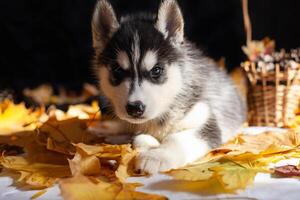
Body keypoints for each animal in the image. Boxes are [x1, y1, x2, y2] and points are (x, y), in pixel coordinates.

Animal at [91, 0, 246, 173]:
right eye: (117, 69)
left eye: (156, 70)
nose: (135, 108)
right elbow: (137, 137)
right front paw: (143, 141)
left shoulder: (205, 119)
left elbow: (177, 139)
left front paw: (157, 157)